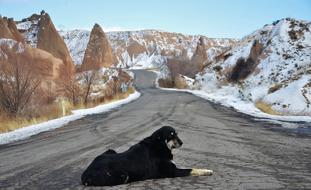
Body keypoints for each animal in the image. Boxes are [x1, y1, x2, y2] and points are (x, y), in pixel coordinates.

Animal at [80, 125, 213, 186]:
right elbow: (192, 169)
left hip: (110, 150)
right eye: (170, 135)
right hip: (123, 175)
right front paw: (207, 171)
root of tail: (85, 173)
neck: (159, 145)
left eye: (176, 134)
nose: (181, 142)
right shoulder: (172, 172)